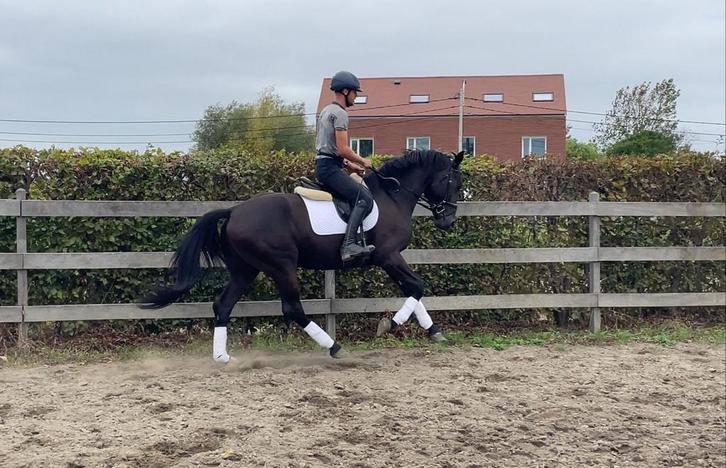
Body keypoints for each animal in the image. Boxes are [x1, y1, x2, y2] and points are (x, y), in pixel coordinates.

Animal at [141, 149, 464, 361]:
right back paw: (334, 347)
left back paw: (222, 357)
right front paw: (389, 325)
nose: (448, 221)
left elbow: (413, 289)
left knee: (223, 304)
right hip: (281, 266)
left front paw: (434, 332)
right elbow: (417, 287)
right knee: (292, 309)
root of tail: (234, 211)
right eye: (453, 182)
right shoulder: (388, 256)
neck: (391, 196)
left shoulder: (388, 258)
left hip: (246, 269)